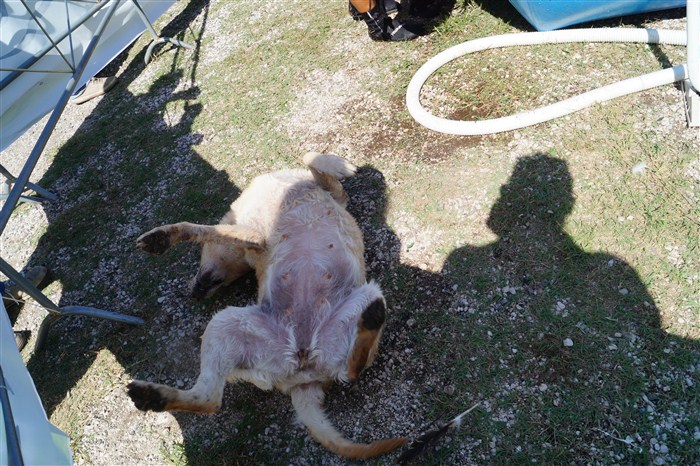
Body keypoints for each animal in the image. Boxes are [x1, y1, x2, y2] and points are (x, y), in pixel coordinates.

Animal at [126, 153, 406, 459]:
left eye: (223, 280)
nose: (196, 293)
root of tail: (304, 373)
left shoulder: (326, 199)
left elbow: (311, 158)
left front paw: (339, 164)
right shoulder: (256, 235)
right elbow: (204, 229)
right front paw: (162, 237)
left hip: (363, 295)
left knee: (349, 370)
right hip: (224, 325)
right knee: (210, 400)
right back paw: (153, 396)